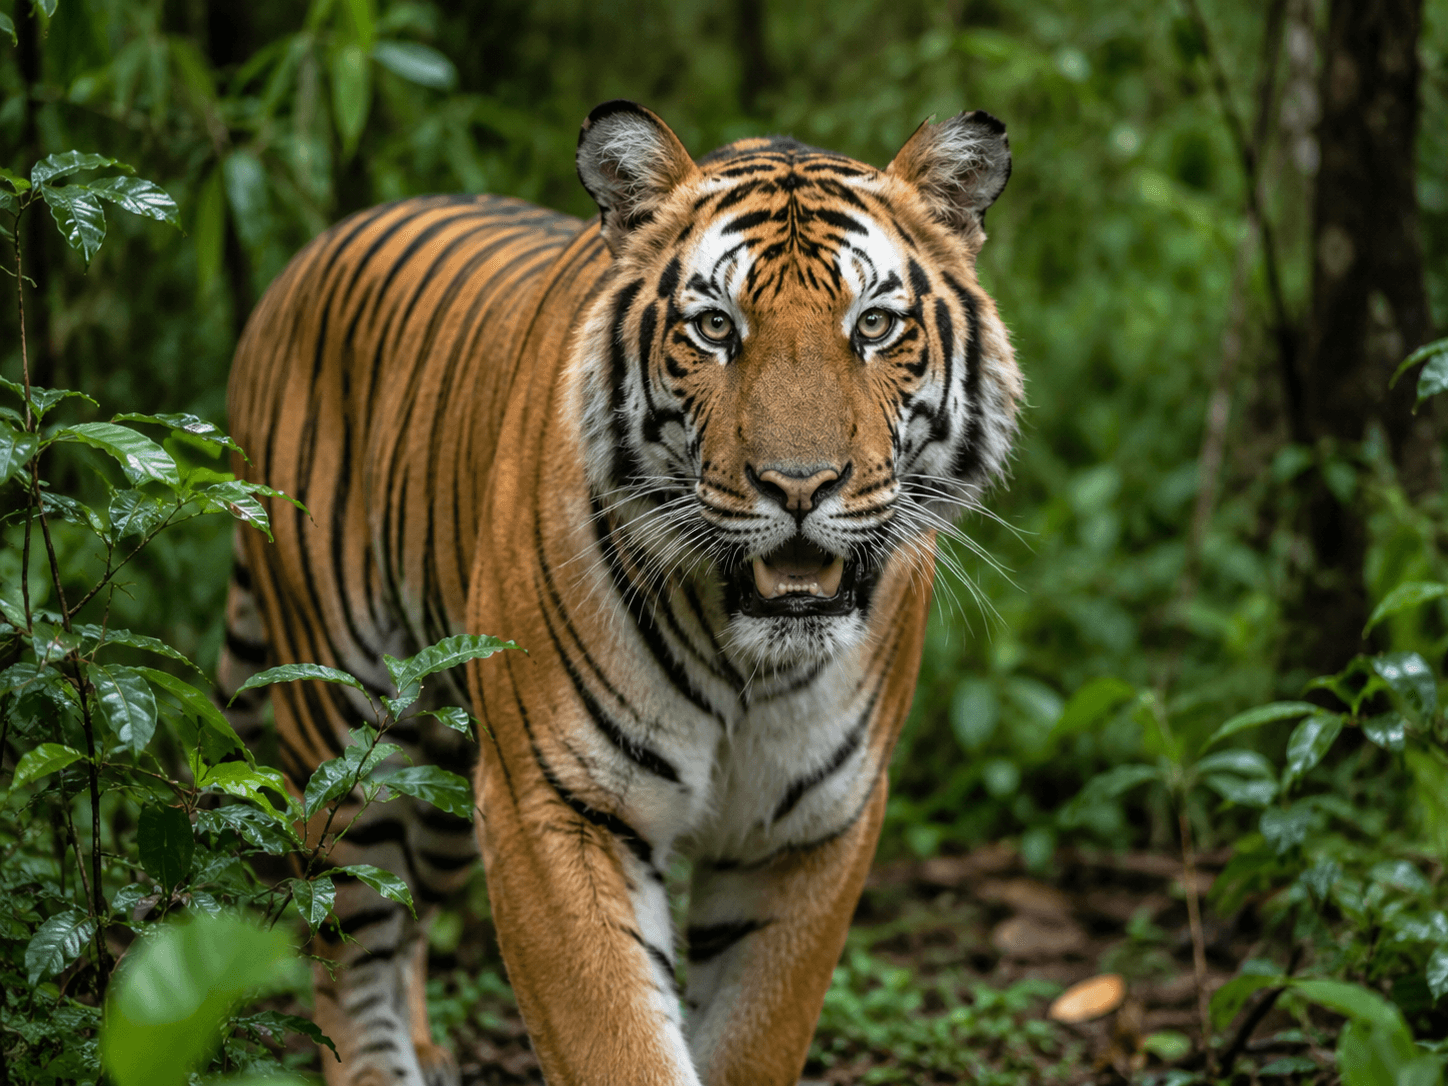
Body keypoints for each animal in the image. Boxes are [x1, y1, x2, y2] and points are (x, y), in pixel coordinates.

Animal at [219, 99, 1021, 1086]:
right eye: (714, 327)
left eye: (873, 326)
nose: (798, 486)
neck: (748, 658)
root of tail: (304, 258)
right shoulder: (555, 802)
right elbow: (615, 1039)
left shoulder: (811, 827)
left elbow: (756, 1038)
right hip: (350, 724)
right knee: (350, 935)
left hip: (447, 767)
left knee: (402, 905)